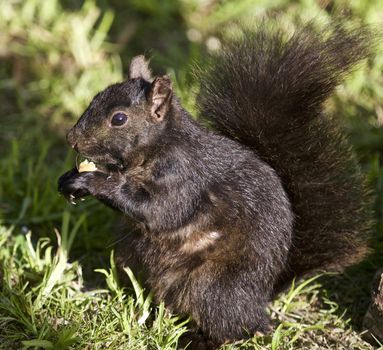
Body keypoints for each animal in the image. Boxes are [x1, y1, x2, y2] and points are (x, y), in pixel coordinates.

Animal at [57, 20, 376, 348]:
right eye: (95, 97)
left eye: (119, 119)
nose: (72, 138)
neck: (159, 146)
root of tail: (260, 299)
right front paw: (71, 179)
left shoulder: (183, 176)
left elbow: (159, 210)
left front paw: (94, 180)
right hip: (133, 255)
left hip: (214, 286)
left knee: (233, 328)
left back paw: (199, 338)